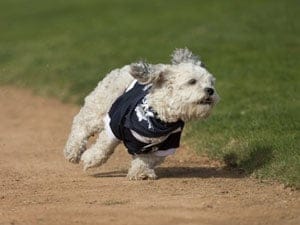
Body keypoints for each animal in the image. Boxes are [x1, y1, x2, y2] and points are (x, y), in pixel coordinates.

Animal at [63, 48, 218, 180]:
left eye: (211, 82)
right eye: (192, 81)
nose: (210, 90)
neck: (157, 118)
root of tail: (124, 69)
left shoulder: (165, 146)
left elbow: (146, 160)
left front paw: (141, 173)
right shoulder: (113, 126)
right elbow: (104, 147)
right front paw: (91, 158)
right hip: (100, 106)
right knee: (81, 124)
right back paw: (73, 151)